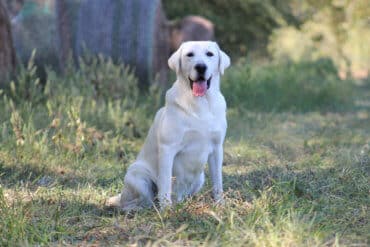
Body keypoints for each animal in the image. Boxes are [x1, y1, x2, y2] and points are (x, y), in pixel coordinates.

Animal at [107, 41, 230, 210]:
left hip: (200, 178)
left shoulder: (217, 149)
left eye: (209, 54)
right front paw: (166, 210)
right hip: (137, 174)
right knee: (143, 201)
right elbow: (165, 183)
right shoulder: (167, 148)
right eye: (190, 54)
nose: (200, 67)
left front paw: (220, 204)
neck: (200, 103)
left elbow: (218, 182)